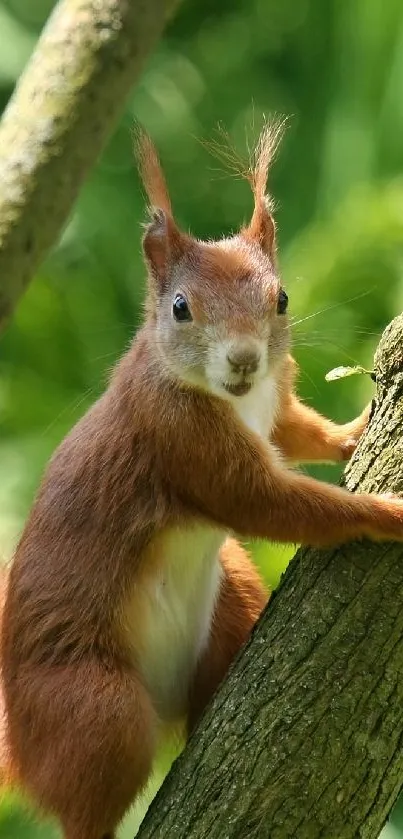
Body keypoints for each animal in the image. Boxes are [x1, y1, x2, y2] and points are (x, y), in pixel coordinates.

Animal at [0, 124, 403, 839]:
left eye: (282, 299)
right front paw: (390, 513)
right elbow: (272, 504)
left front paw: (355, 431)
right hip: (89, 704)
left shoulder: (275, 403)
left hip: (232, 594)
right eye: (181, 308)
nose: (242, 360)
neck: (236, 398)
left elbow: (297, 435)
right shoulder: (181, 441)